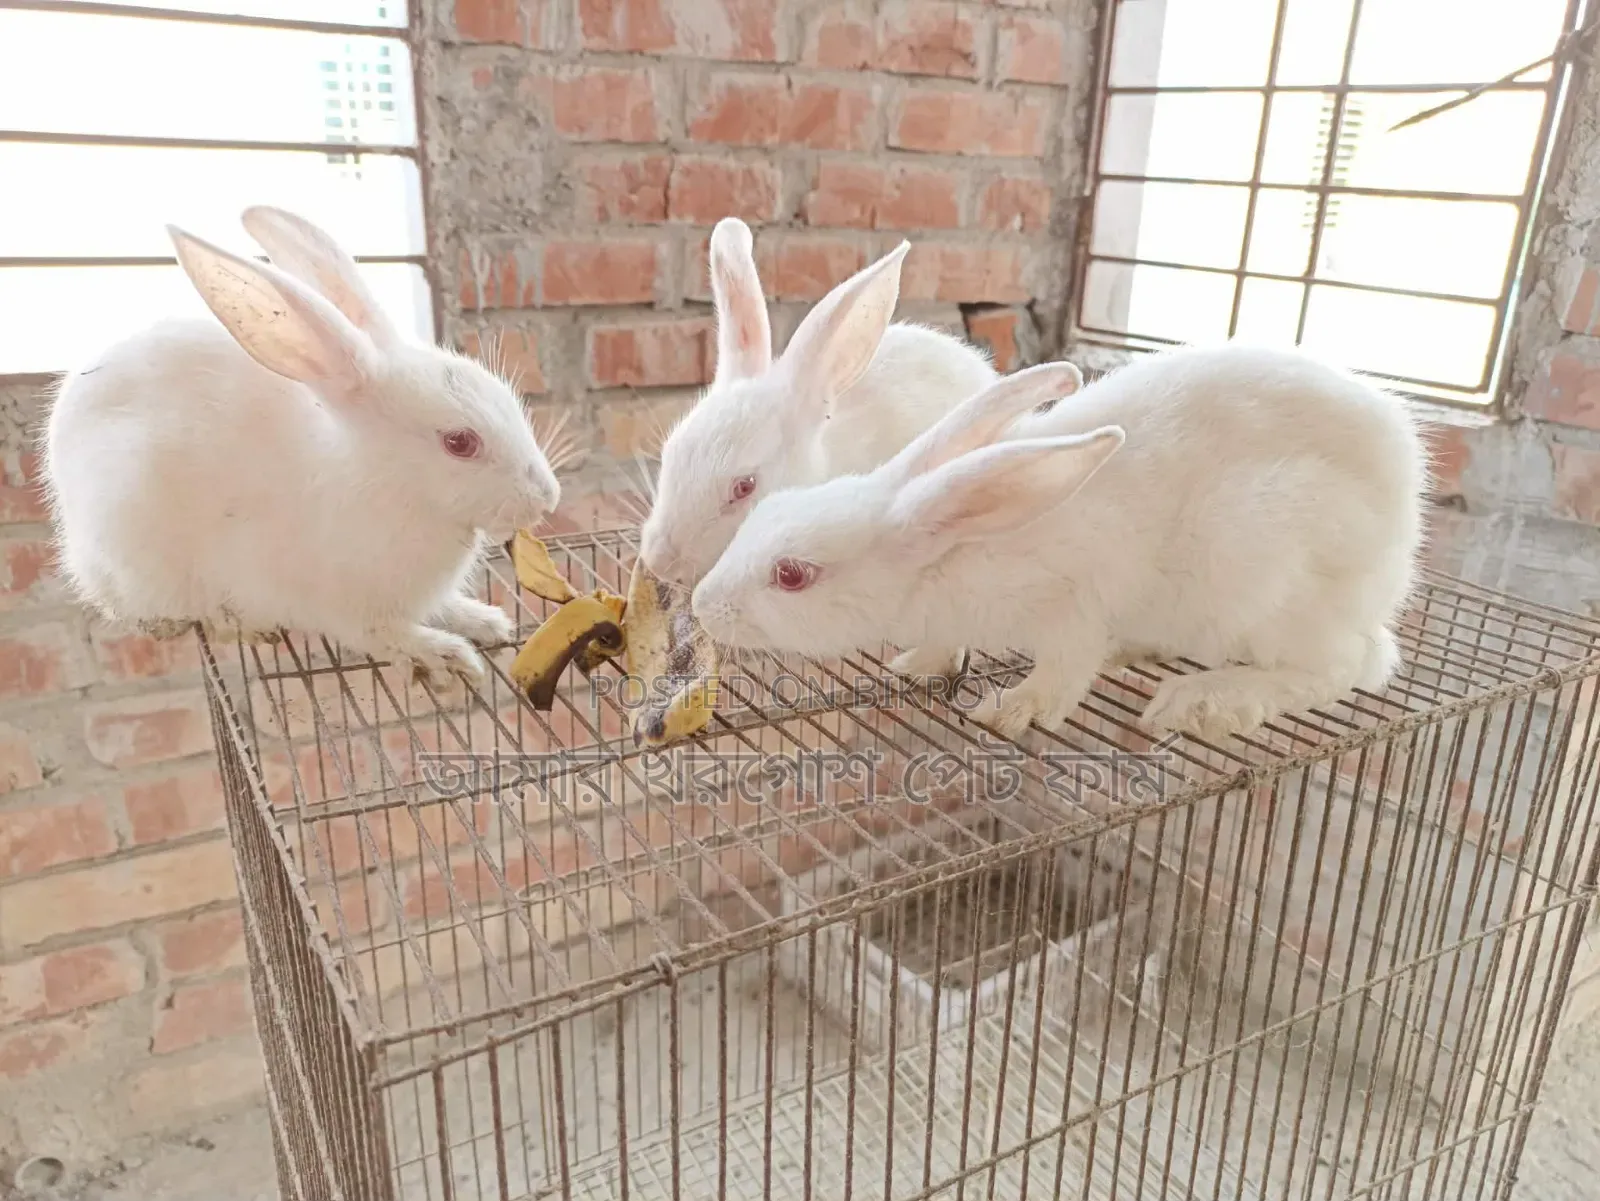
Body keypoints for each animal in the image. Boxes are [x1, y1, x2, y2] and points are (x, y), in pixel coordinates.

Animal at [42, 205, 561, 687]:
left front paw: (486, 621)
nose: (547, 498)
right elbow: (386, 636)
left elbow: (445, 607)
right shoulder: (347, 609)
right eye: (459, 442)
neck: (384, 485)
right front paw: (447, 655)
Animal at [691, 344, 1426, 743]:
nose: (701, 604)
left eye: (791, 574)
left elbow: (1064, 669)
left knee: (1350, 666)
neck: (950, 549)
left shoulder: (1072, 605)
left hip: (1274, 572)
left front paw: (1010, 710)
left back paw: (1207, 700)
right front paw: (915, 665)